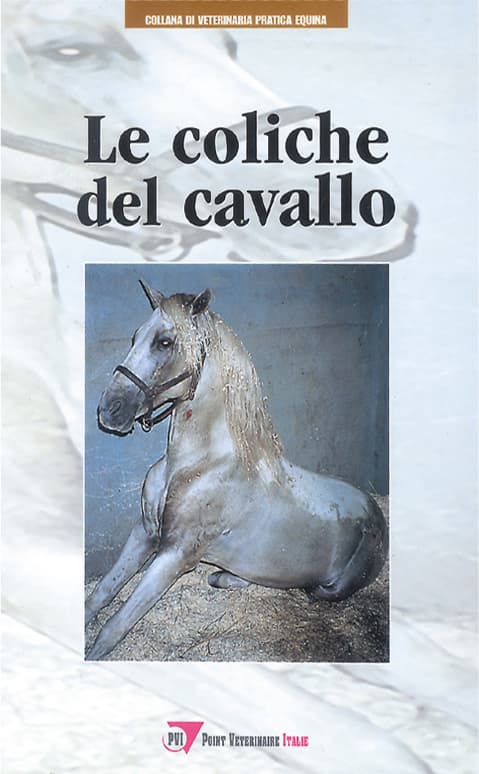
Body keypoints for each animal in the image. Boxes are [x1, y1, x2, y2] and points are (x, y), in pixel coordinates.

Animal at [85, 279, 388, 660]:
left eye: (164, 342)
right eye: (135, 336)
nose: (109, 410)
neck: (195, 464)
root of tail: (376, 510)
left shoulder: (174, 554)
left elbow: (115, 627)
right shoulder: (144, 533)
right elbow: (100, 594)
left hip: (333, 587)